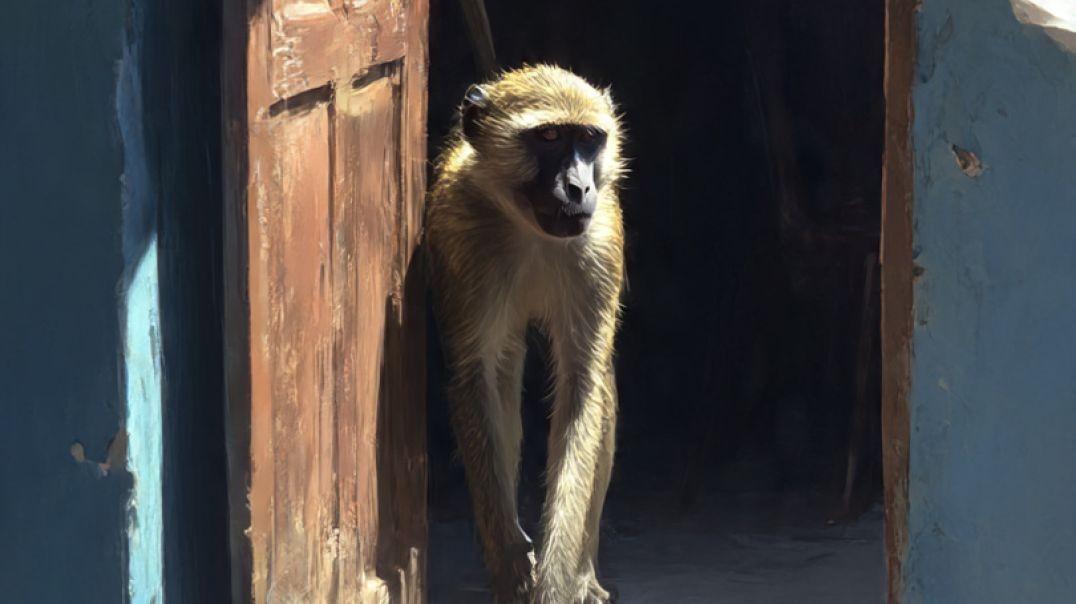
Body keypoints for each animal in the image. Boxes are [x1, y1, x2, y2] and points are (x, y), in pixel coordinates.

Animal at [425, 65, 626, 604]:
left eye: (589, 139)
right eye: (550, 137)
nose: (578, 188)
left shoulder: (600, 242)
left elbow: (582, 383)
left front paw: (556, 578)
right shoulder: (464, 237)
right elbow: (475, 374)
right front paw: (512, 563)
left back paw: (584, 572)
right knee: (502, 372)